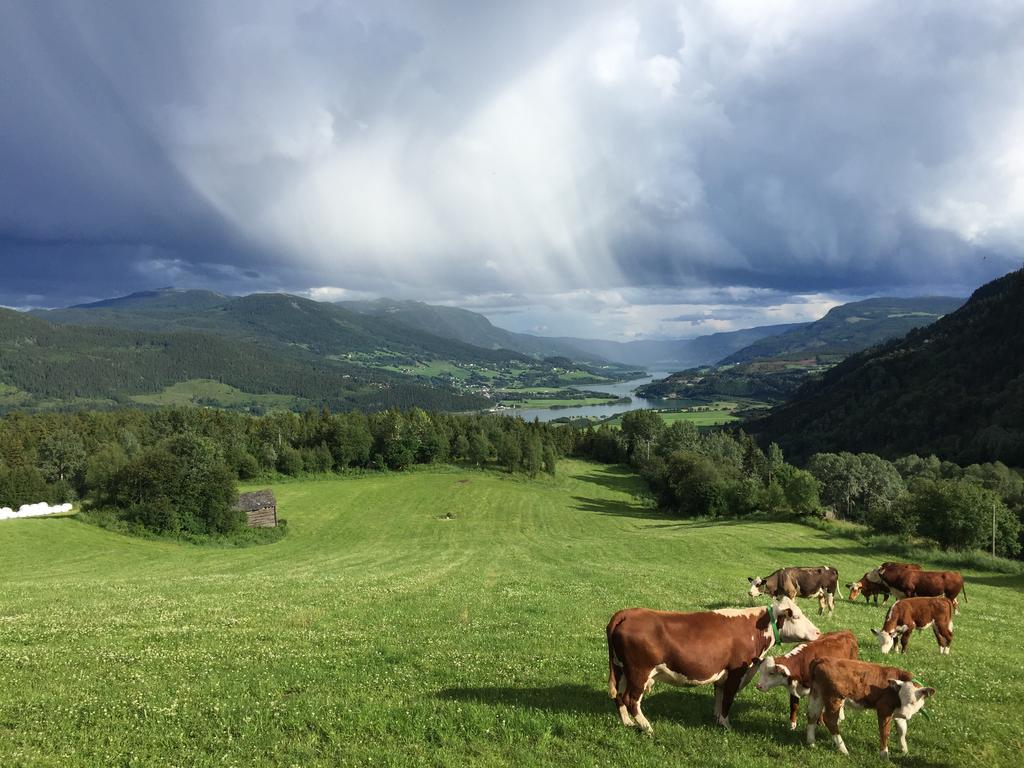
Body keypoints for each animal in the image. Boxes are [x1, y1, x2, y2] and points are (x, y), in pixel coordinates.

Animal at [602, 593, 819, 733]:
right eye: (797, 616)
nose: (818, 632)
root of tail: (627, 613)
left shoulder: (722, 674)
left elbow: (719, 696)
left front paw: (717, 720)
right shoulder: (736, 672)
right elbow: (728, 699)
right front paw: (726, 724)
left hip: (621, 669)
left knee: (618, 696)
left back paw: (628, 723)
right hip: (639, 672)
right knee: (631, 699)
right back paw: (647, 727)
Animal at [806, 659, 937, 761]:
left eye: (913, 701)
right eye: (901, 697)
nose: (904, 714)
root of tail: (823, 660)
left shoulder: (897, 712)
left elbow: (902, 729)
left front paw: (904, 749)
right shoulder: (884, 709)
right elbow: (885, 732)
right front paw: (884, 755)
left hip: (817, 694)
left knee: (812, 714)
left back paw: (811, 743)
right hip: (835, 698)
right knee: (830, 720)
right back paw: (844, 750)